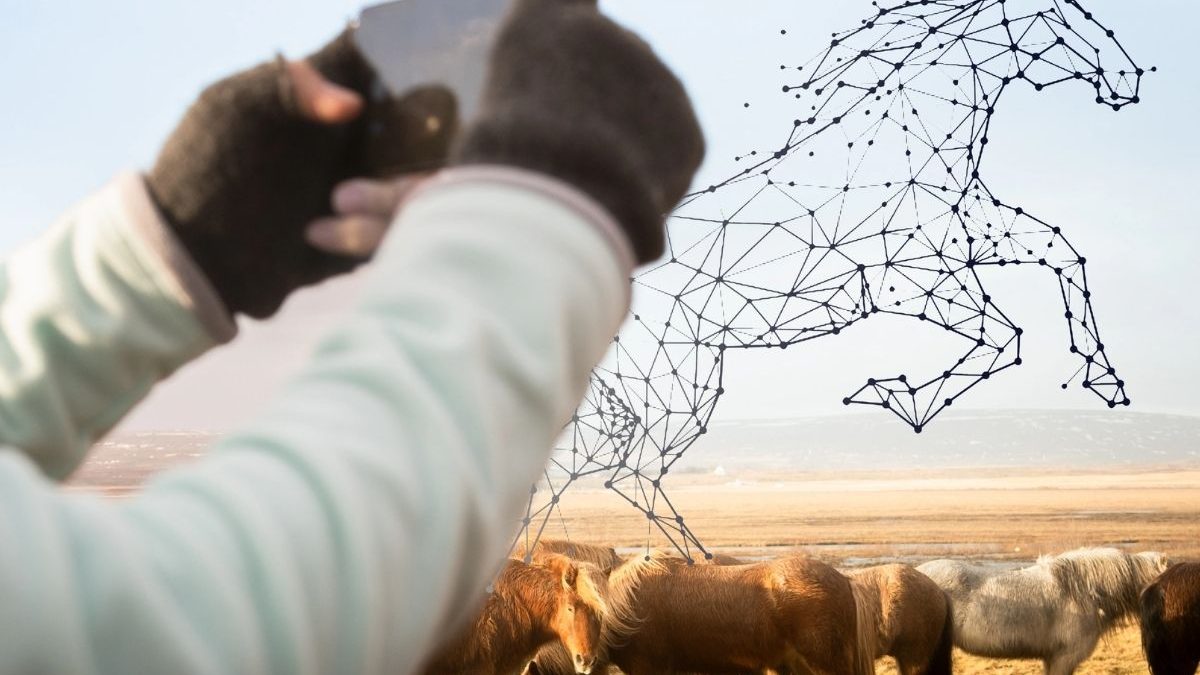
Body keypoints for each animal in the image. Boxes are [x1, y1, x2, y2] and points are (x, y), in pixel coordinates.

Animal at [521, 0, 1152, 558]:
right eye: (1070, 21)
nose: (1128, 85)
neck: (919, 141)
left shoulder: (980, 239)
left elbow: (1066, 260)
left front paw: (1103, 379)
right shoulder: (923, 273)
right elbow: (1000, 335)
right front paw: (895, 396)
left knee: (592, 472)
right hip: (677, 387)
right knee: (624, 474)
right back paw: (688, 560)